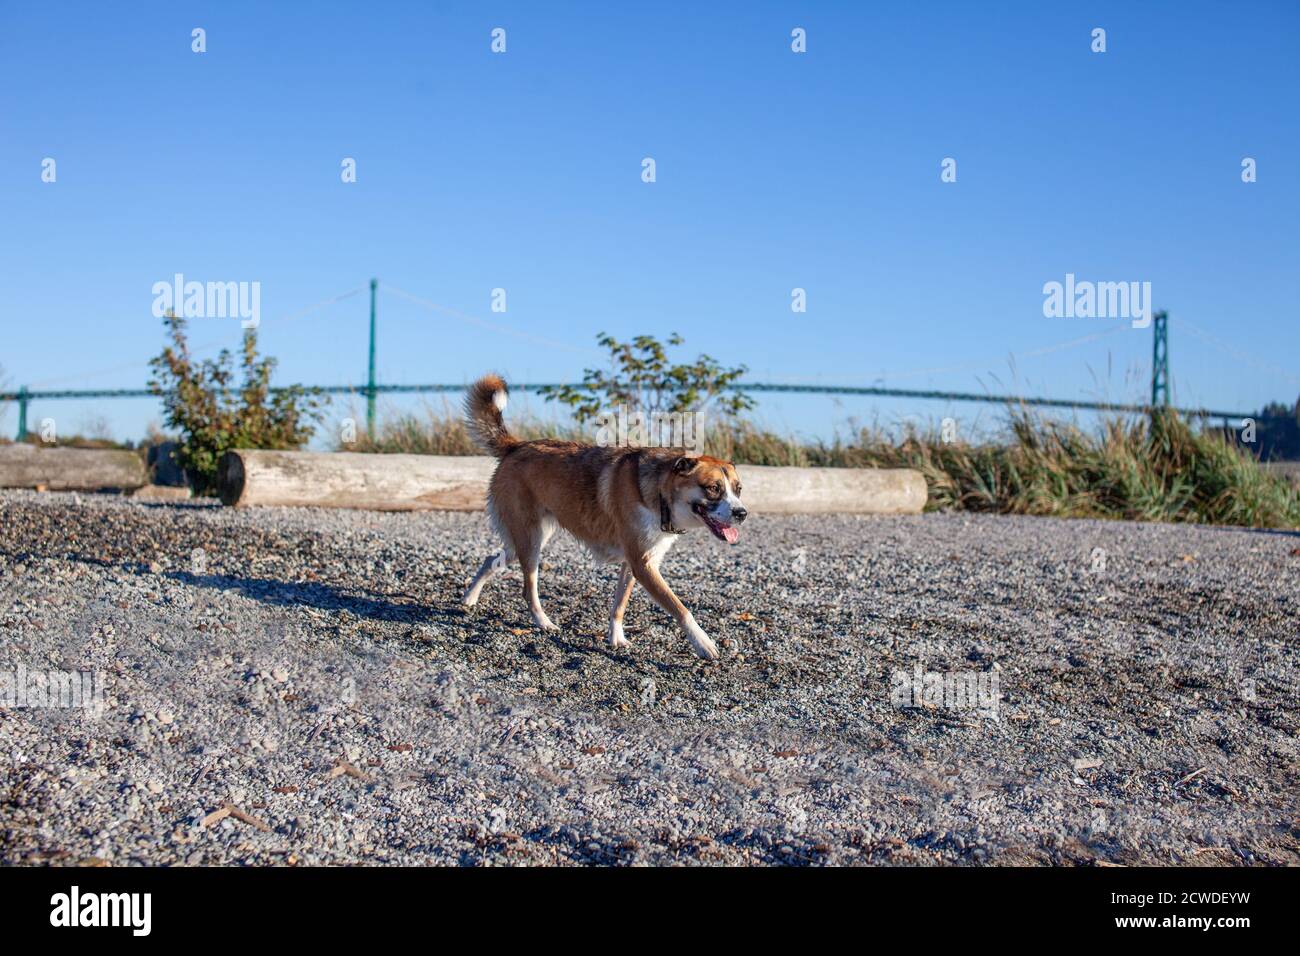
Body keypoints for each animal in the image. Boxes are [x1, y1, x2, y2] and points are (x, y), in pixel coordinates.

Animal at [460, 374, 748, 658]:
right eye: (713, 488)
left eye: (738, 489)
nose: (742, 513)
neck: (660, 494)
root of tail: (517, 446)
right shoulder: (643, 565)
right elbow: (680, 607)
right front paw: (702, 642)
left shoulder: (636, 564)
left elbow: (619, 605)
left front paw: (616, 638)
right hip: (531, 542)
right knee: (528, 590)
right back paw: (543, 622)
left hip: (528, 539)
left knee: (491, 560)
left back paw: (469, 598)